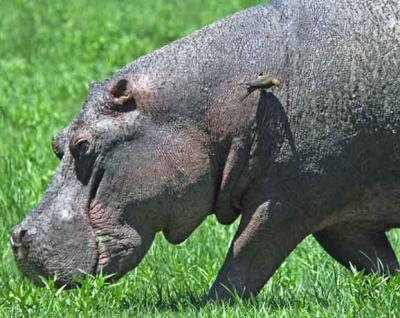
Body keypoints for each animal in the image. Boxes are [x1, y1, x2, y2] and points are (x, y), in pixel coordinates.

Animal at [9, 0, 400, 300]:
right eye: (57, 142)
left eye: (82, 145)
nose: (17, 236)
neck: (210, 107)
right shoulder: (341, 217)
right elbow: (377, 262)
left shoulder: (288, 202)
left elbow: (246, 255)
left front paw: (211, 304)